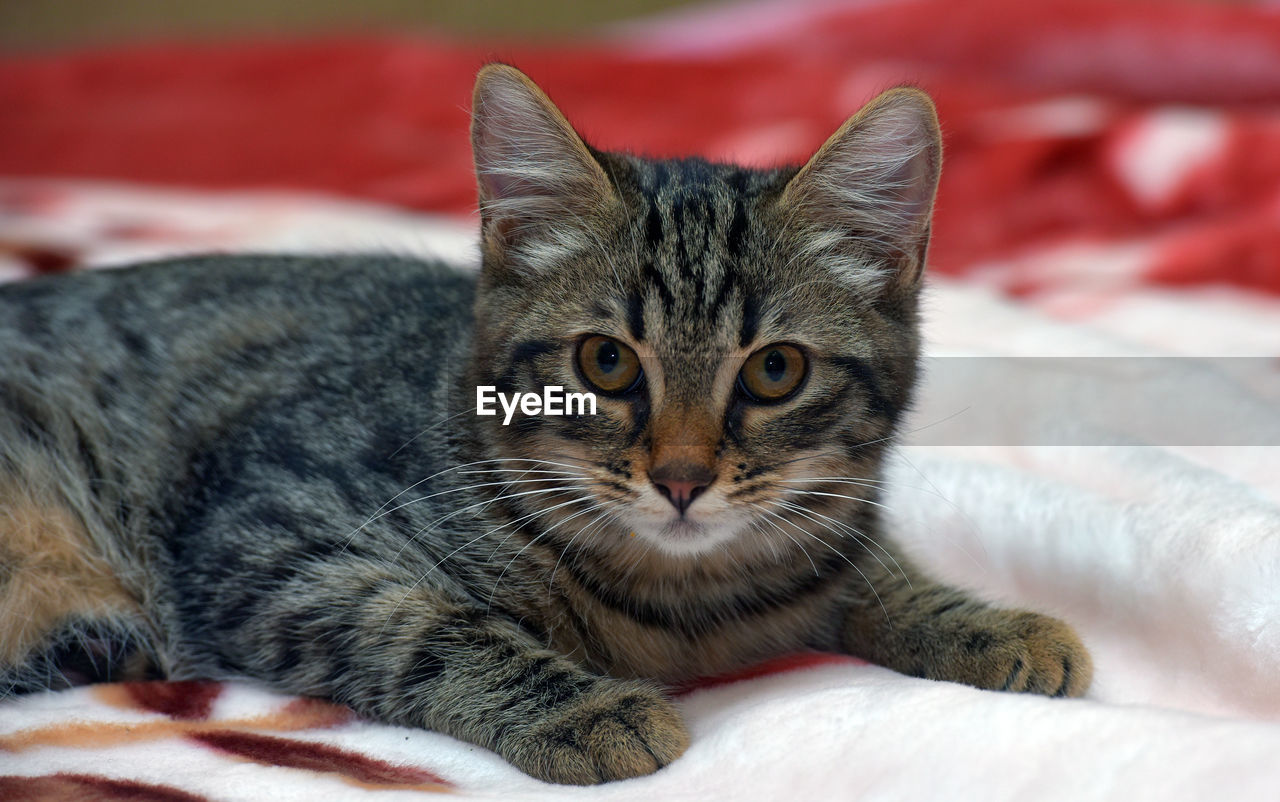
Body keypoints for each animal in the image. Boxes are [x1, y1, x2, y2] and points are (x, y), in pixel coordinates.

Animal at [0, 64, 1090, 782]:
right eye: (604, 362)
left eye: (774, 371)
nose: (682, 477)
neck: (684, 601)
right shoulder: (265, 535)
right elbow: (428, 626)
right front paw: (581, 705)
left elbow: (864, 567)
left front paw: (978, 619)